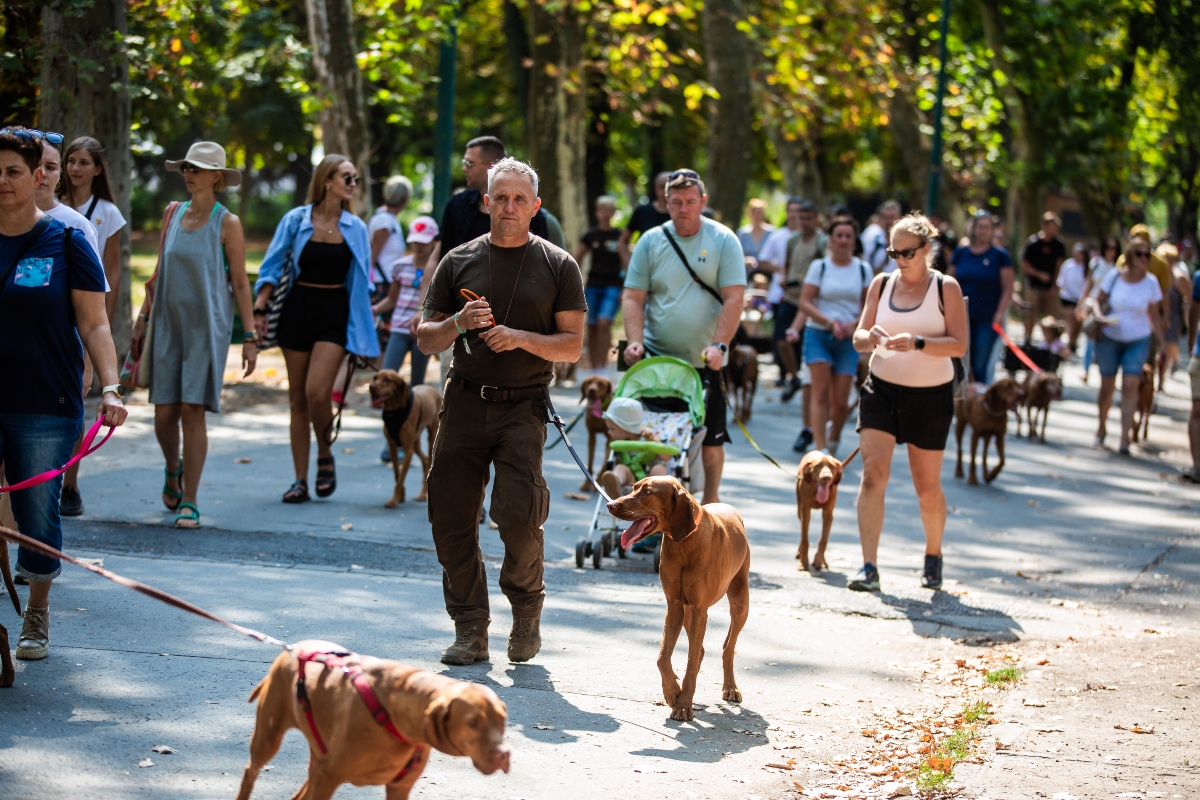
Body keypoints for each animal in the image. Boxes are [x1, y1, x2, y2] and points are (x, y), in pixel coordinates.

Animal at [237, 642, 511, 800]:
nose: (504, 755)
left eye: (502, 721)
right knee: (251, 770)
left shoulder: (399, 788)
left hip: (318, 755)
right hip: (268, 737)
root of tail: (293, 648)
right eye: (473, 723)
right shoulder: (328, 778)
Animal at [609, 479, 748, 724]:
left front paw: (683, 705)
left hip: (740, 603)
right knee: (700, 649)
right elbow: (663, 657)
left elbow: (691, 664)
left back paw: (730, 687)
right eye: (634, 487)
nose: (610, 504)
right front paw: (673, 692)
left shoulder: (700, 609)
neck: (684, 542)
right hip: (686, 611)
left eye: (647, 492)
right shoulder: (674, 605)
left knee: (727, 647)